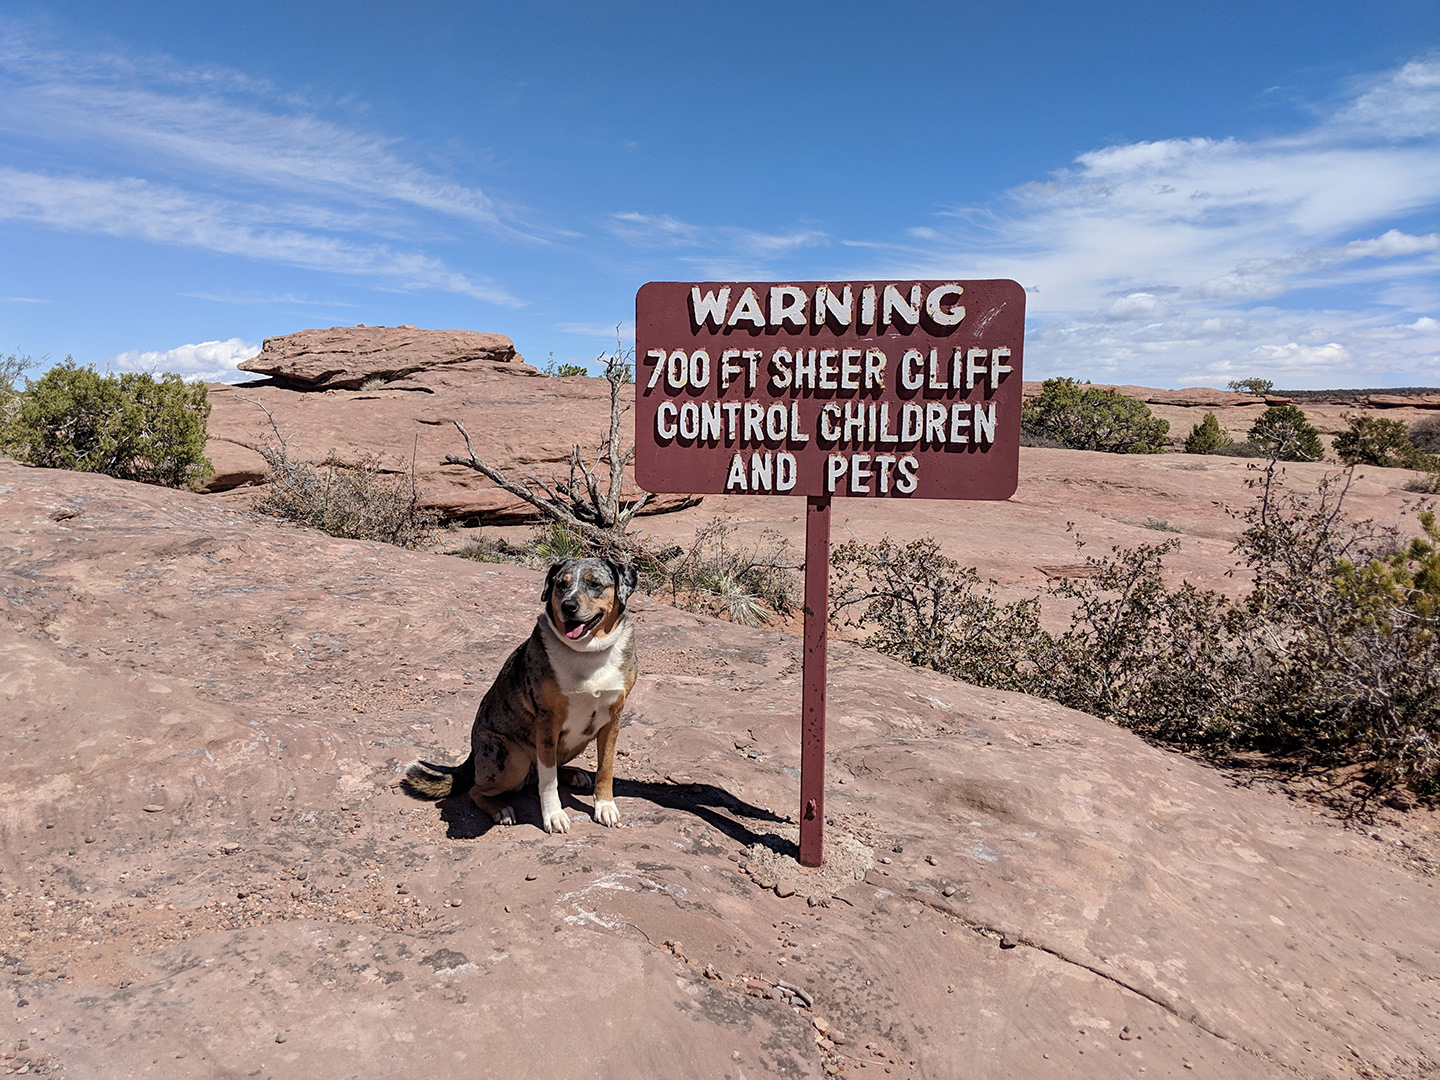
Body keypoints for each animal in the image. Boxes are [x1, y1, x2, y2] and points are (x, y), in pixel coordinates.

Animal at [400, 558, 636, 835]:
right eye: (561, 584)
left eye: (595, 584)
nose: (568, 606)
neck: (587, 652)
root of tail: (472, 756)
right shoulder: (547, 722)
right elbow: (548, 780)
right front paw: (554, 815)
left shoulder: (612, 719)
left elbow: (605, 767)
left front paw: (605, 806)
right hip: (513, 758)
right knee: (476, 790)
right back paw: (500, 809)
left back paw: (573, 775)